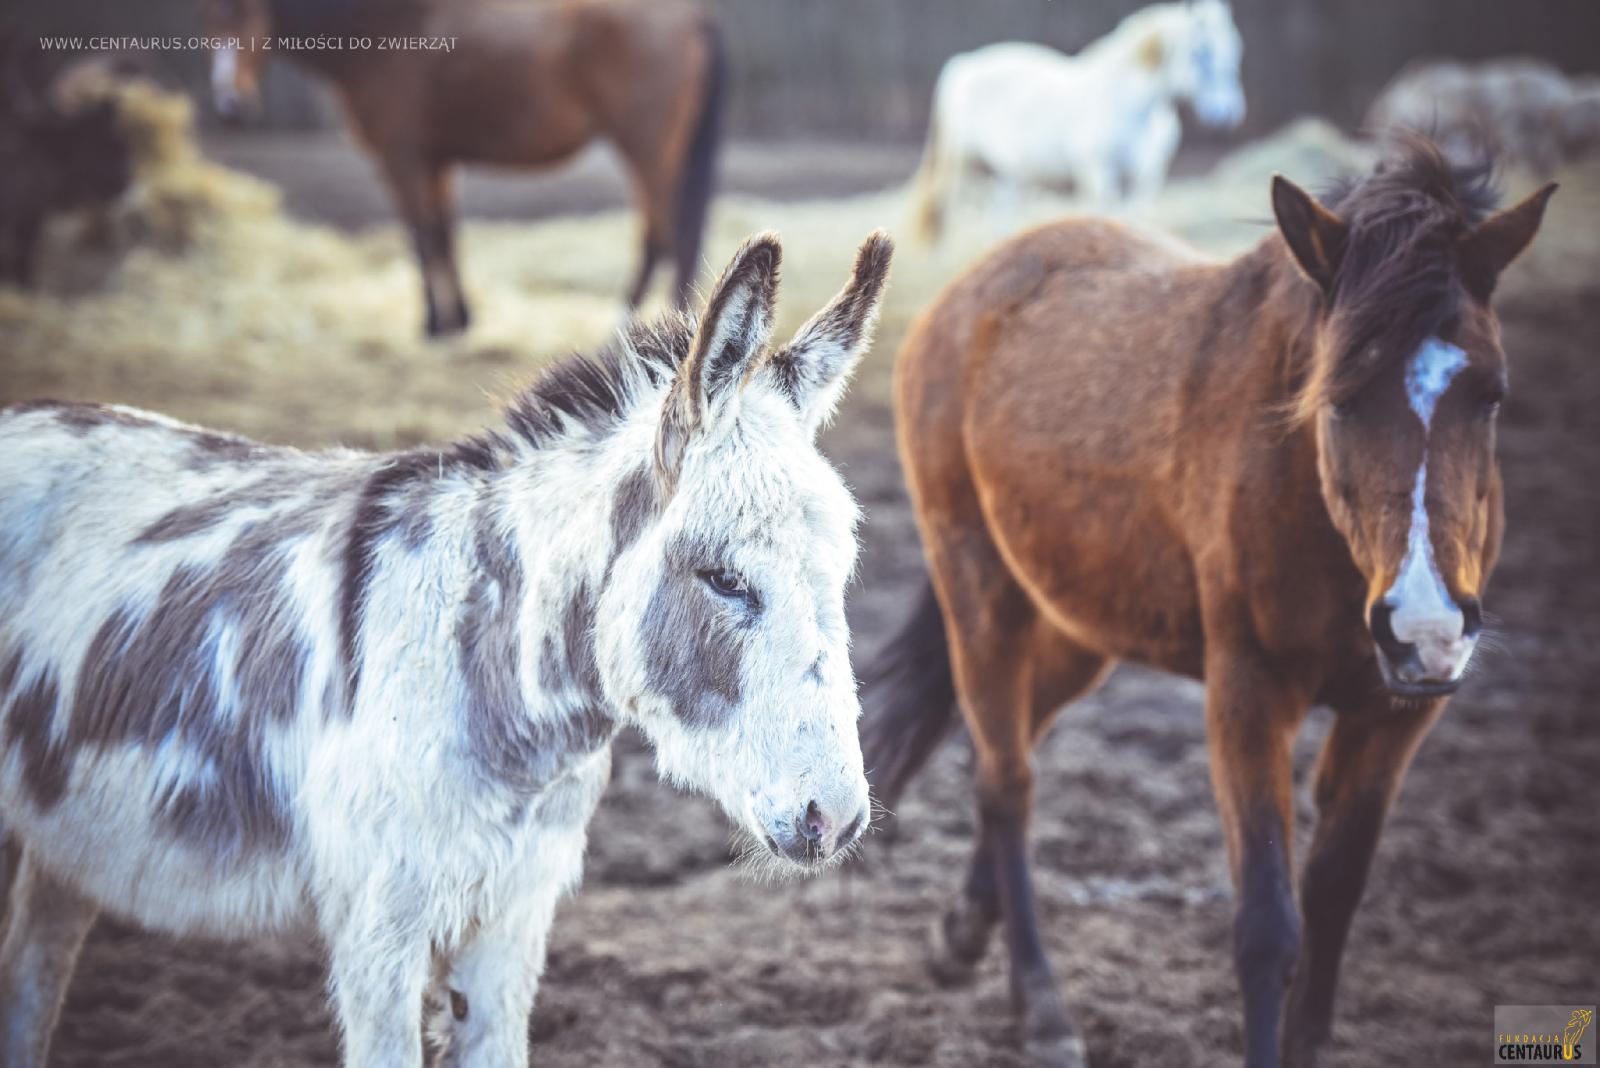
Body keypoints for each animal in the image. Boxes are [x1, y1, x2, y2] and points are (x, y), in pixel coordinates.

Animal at [0, 229, 893, 1068]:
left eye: (844, 571)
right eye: (723, 579)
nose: (836, 818)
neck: (495, 681)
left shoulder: (511, 920)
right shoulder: (378, 931)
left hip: (69, 842)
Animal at [202, 0, 725, 337]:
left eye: (250, 14)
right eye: (209, 21)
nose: (230, 106)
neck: (383, 32)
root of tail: (692, 15)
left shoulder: (403, 158)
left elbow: (421, 235)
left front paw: (434, 325)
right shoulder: (436, 162)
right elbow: (444, 233)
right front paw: (460, 319)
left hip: (646, 151)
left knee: (661, 237)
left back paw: (625, 326)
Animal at [862, 141, 1553, 1068]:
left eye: (1493, 393)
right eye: (1339, 396)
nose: (1426, 624)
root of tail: (967, 291)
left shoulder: (1396, 711)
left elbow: (1334, 897)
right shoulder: (1248, 693)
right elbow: (1267, 925)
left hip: (1079, 623)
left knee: (1004, 749)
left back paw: (964, 935)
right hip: (980, 591)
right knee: (1007, 778)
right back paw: (1042, 1007)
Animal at [910, 0, 1245, 242]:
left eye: (1234, 50)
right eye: (1200, 54)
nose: (1228, 112)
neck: (1126, 102)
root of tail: (964, 64)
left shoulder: (1145, 175)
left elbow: (1134, 218)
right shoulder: (1098, 172)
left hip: (1009, 174)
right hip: (962, 165)